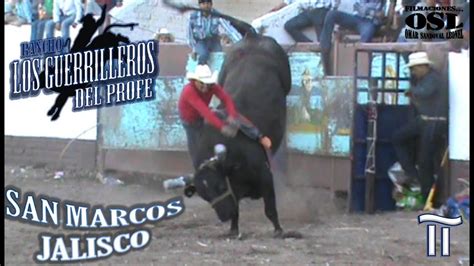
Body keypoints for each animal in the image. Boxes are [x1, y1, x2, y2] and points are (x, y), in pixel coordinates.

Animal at [166, 0, 292, 237]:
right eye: (205, 196)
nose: (223, 216)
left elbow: (270, 209)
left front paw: (279, 230)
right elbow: (238, 211)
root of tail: (252, 37)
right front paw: (233, 230)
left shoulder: (265, 177)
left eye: (219, 186)